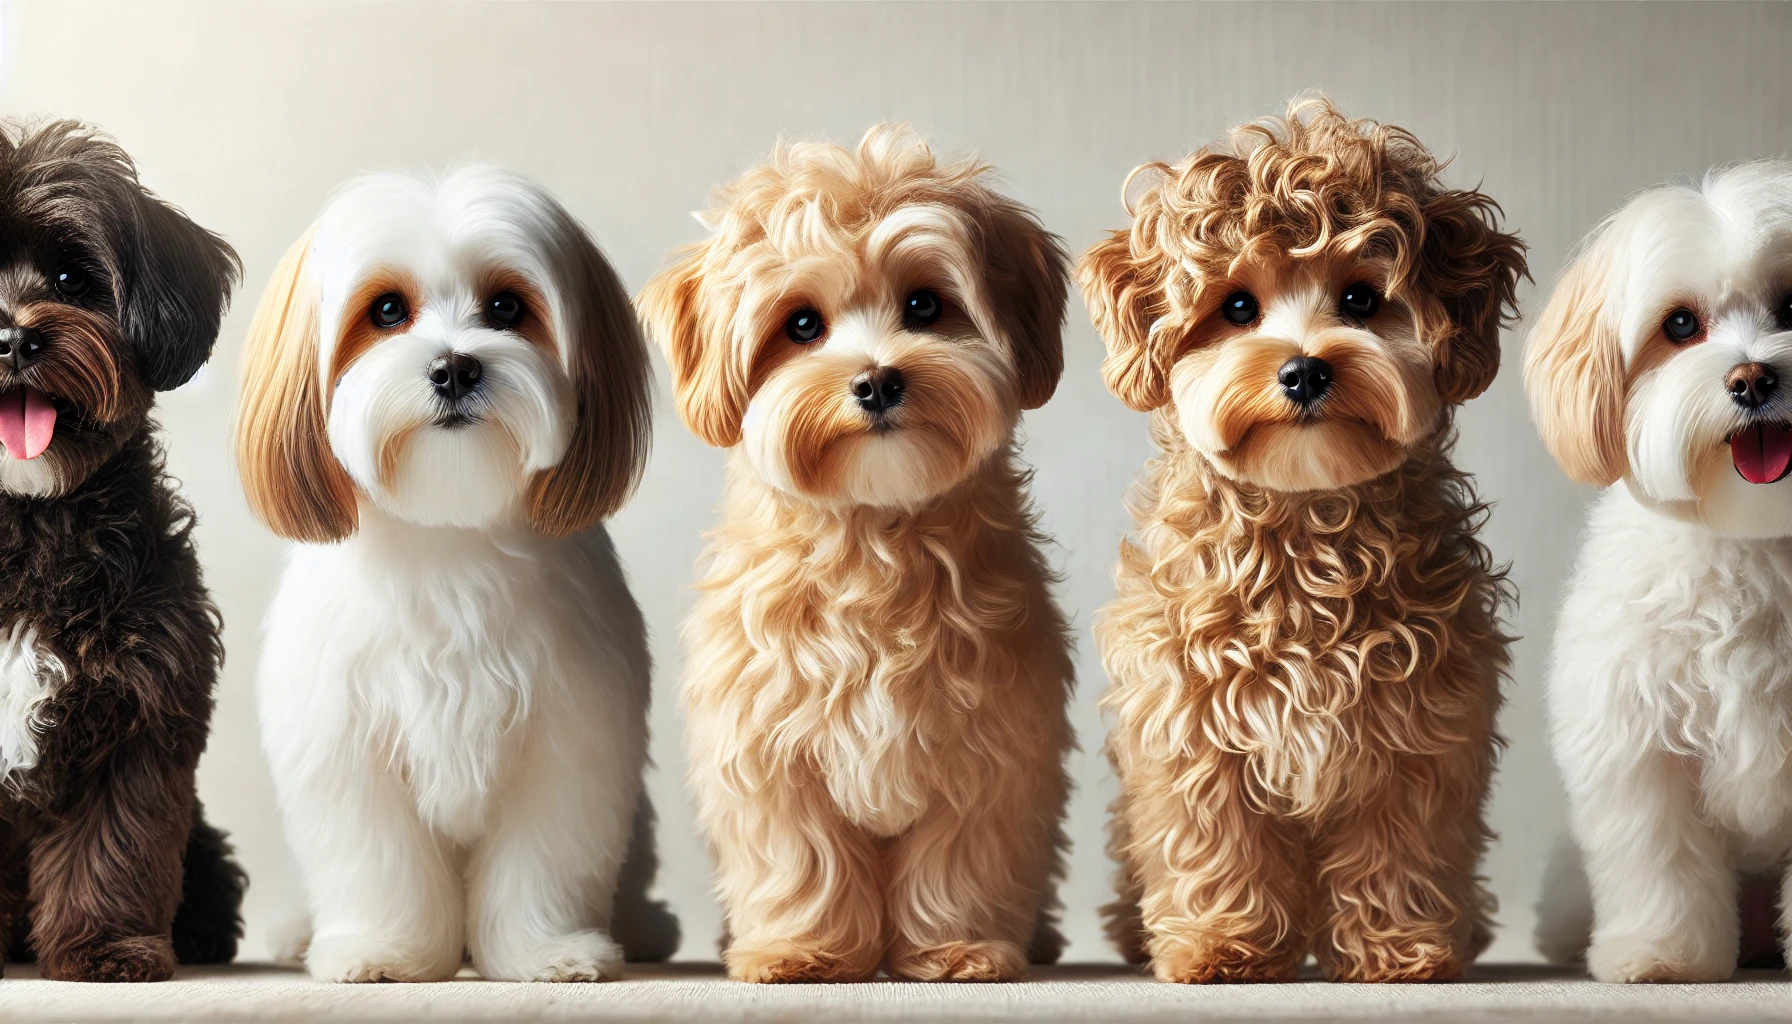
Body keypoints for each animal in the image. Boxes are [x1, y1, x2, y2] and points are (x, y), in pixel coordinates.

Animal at [0, 120, 245, 982]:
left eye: (72, 278)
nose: (12, 337)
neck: (29, 526)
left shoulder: (141, 711)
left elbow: (113, 848)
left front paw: (105, 949)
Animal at [225, 168, 673, 982]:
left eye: (507, 307)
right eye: (386, 310)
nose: (456, 366)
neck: (448, 539)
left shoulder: (568, 742)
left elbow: (542, 862)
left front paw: (546, 951)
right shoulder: (349, 745)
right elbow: (379, 864)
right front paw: (381, 949)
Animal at [641, 126, 1068, 982]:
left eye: (924, 305)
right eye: (802, 325)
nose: (876, 383)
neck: (872, 540)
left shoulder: (990, 753)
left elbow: (957, 863)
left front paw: (955, 947)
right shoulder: (769, 753)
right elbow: (803, 861)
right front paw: (801, 949)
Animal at [1075, 98, 1526, 982]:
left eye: (1360, 298)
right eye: (1236, 309)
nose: (1306, 370)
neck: (1304, 524)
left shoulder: (1420, 731)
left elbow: (1399, 850)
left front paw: (1399, 950)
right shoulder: (1191, 726)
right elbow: (1217, 847)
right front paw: (1223, 945)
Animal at [1526, 162, 1792, 982]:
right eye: (1680, 326)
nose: (1752, 380)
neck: (1753, 536)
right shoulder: (1638, 744)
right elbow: (1659, 859)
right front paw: (1662, 954)